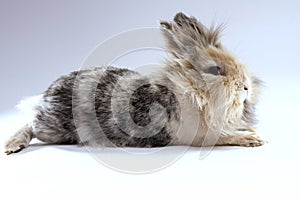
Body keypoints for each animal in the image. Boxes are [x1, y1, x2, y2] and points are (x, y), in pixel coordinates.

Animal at [3, 12, 264, 155]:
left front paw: (251, 132)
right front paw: (253, 139)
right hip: (52, 129)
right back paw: (12, 146)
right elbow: (223, 137)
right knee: (29, 125)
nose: (246, 86)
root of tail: (44, 98)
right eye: (215, 70)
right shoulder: (197, 136)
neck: (191, 90)